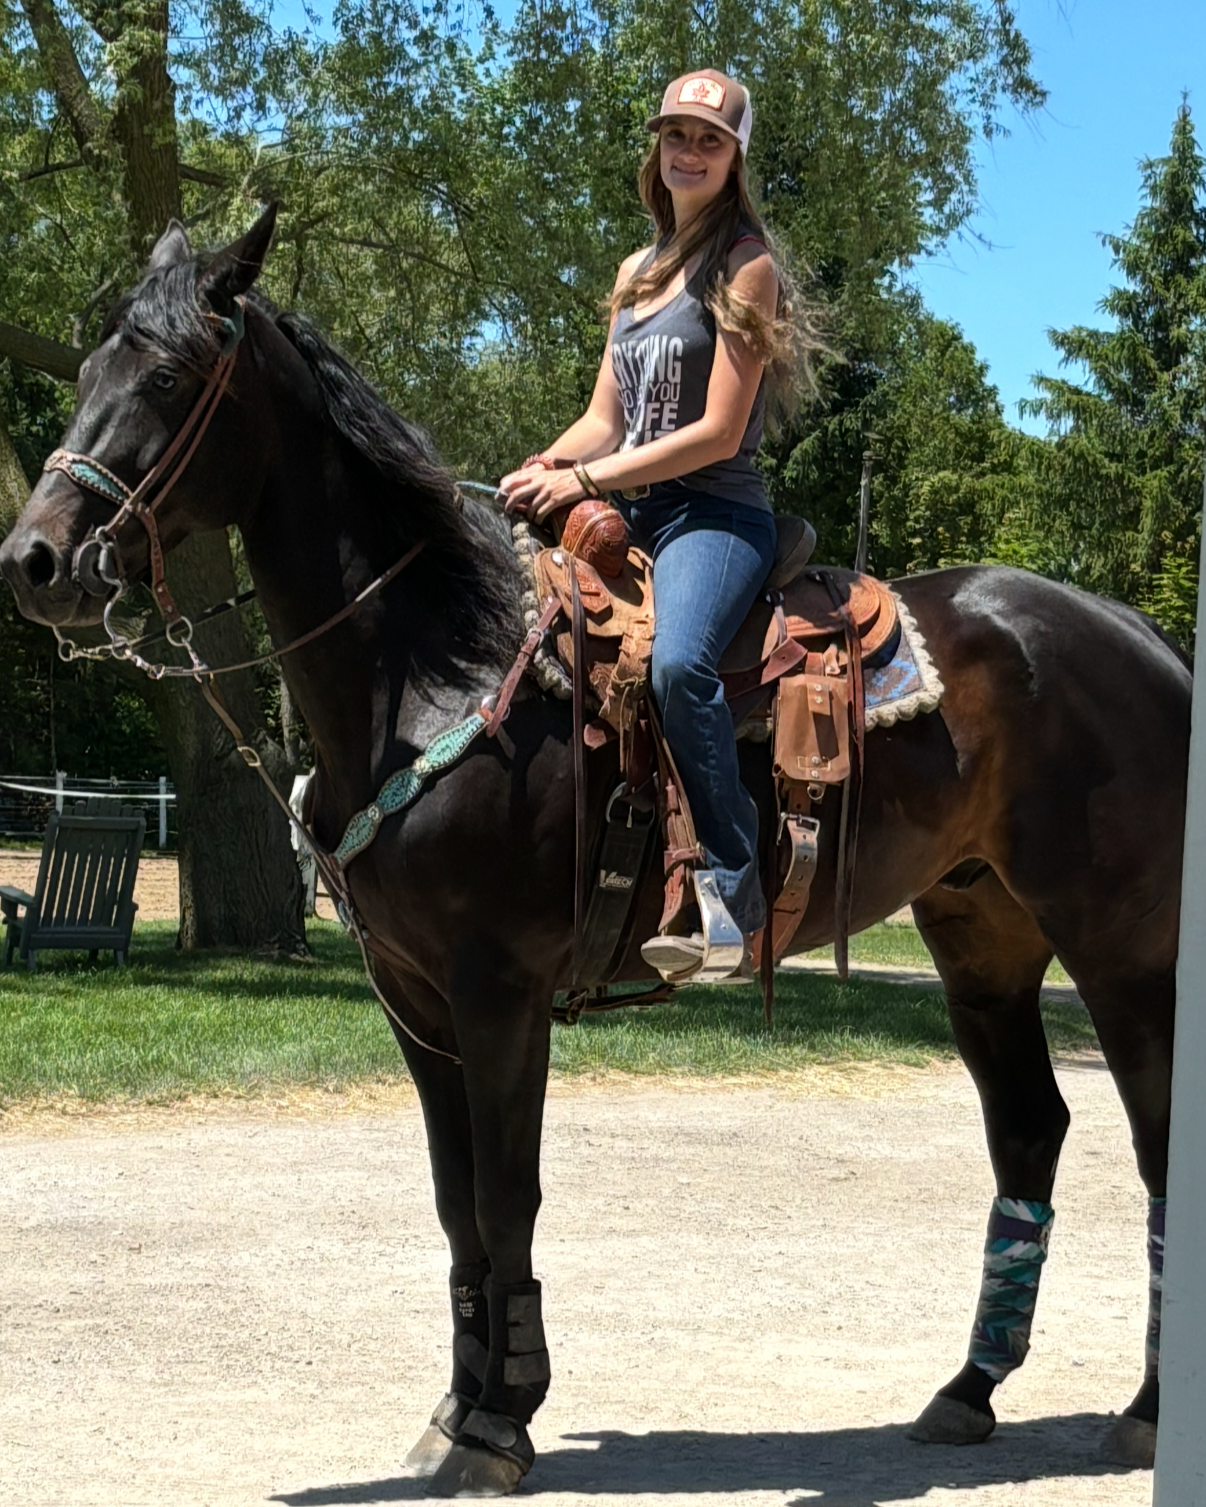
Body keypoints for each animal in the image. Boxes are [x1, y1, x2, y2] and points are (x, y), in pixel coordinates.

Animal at [0, 208, 1188, 1495]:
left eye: (168, 376)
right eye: (86, 369)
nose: (34, 561)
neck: (436, 670)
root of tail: (1138, 634)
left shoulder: (498, 988)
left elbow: (507, 1197)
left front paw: (501, 1421)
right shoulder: (414, 997)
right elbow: (456, 1204)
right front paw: (458, 1407)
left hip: (1122, 955)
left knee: (1156, 1140)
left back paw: (1146, 1411)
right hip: (982, 939)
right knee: (1029, 1132)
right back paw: (967, 1390)